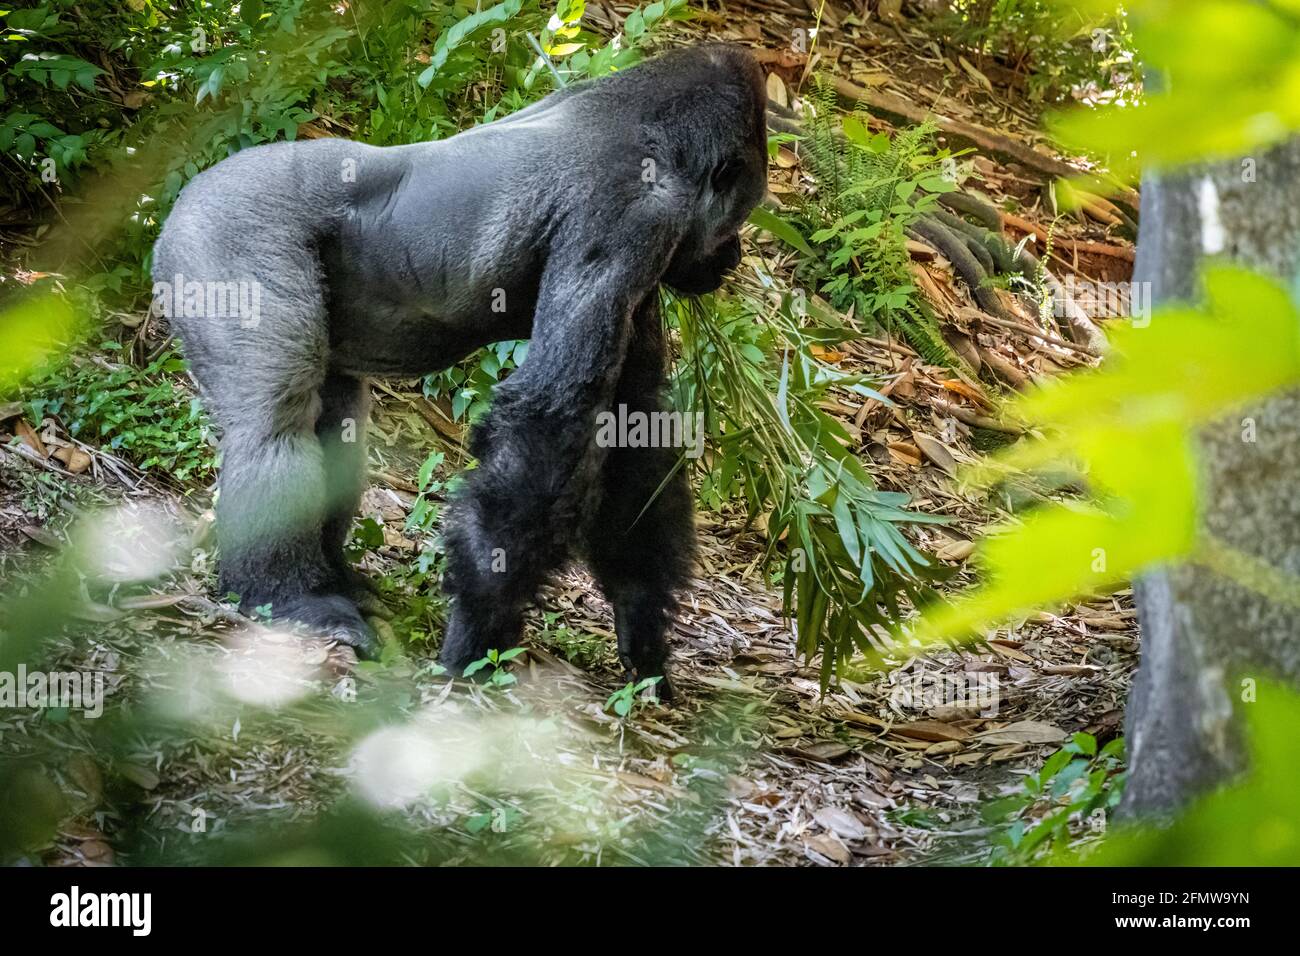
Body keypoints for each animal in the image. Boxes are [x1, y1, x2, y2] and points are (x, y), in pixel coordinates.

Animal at [153, 42, 764, 697]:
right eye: (740, 214)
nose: (735, 257)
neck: (655, 139)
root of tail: (180, 199)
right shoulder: (631, 217)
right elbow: (551, 419)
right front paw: (477, 639)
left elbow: (633, 428)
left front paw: (643, 629)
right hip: (224, 238)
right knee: (275, 422)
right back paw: (289, 598)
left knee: (335, 417)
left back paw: (335, 580)